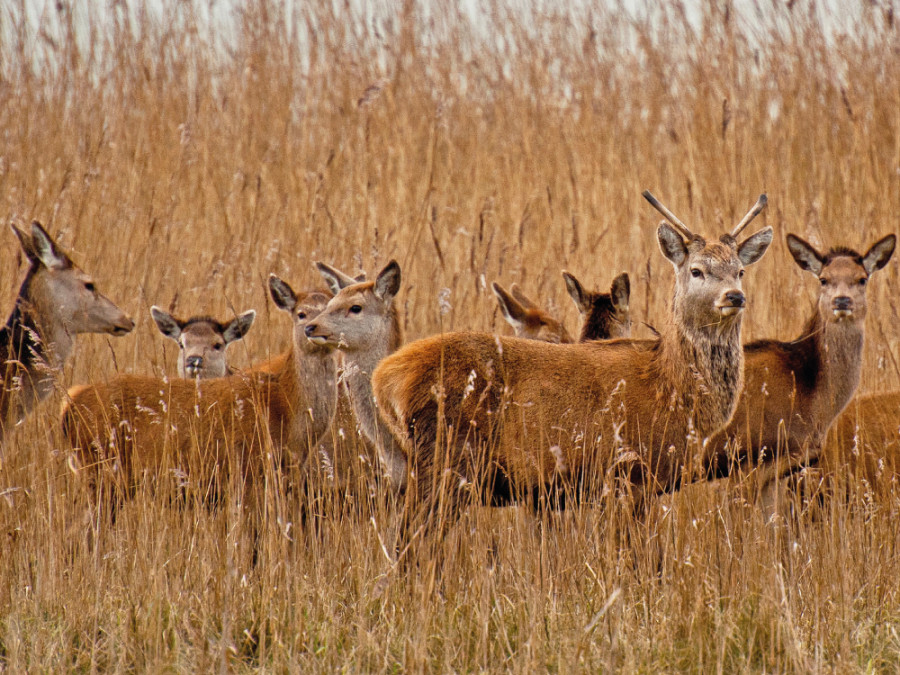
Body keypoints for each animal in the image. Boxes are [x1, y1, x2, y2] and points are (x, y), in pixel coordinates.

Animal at [372, 190, 772, 544]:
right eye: (697, 270)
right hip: (448, 455)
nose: (734, 297)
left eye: (740, 271)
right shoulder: (629, 473)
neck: (672, 390)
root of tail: (386, 377)